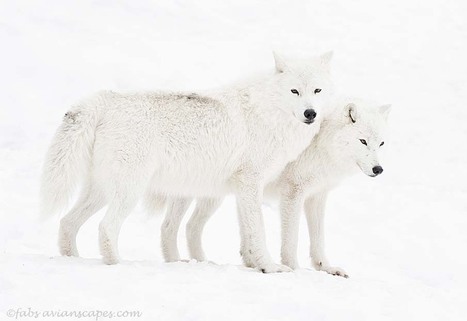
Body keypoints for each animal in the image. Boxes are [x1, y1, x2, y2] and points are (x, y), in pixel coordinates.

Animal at [40, 51, 334, 272]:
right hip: (129, 191)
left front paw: (254, 264)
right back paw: (117, 264)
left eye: (317, 90)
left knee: (67, 222)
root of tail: (107, 100)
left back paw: (72, 259)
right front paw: (270, 267)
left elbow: (246, 233)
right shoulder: (251, 183)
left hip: (101, 191)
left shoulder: (240, 189)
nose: (310, 113)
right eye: (294, 91)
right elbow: (258, 230)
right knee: (106, 227)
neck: (269, 113)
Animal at [159, 98, 390, 276]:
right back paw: (177, 262)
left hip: (215, 197)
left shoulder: (317, 196)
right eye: (362, 141)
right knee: (169, 226)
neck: (322, 142)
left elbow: (318, 239)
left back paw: (203, 262)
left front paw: (326, 268)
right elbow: (290, 239)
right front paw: (292, 268)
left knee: (190, 227)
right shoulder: (293, 192)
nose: (378, 169)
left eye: (381, 144)